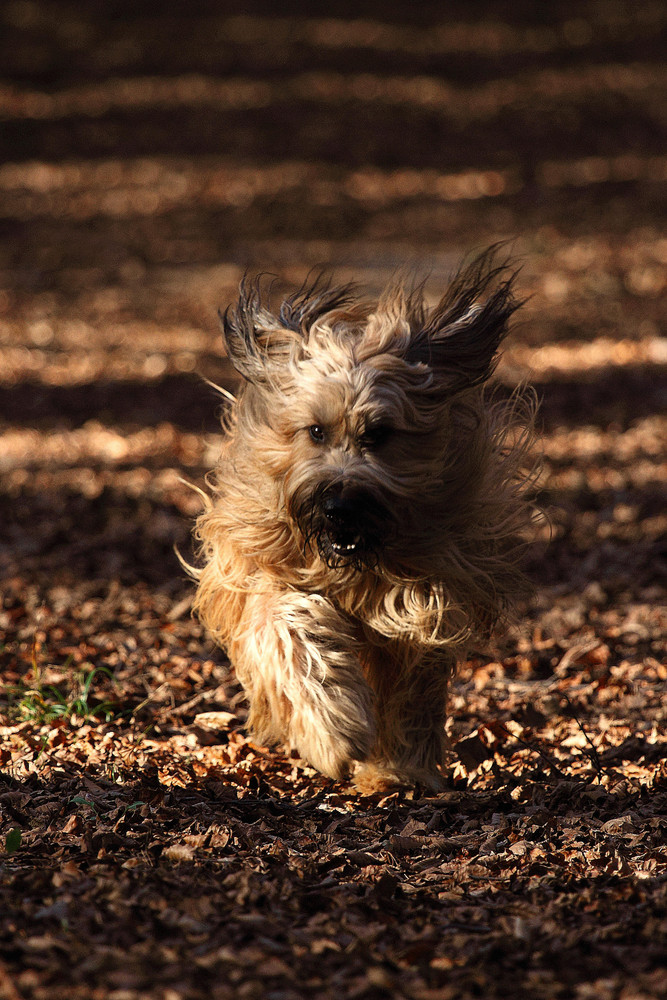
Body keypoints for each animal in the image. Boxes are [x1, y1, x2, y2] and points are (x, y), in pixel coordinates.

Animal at [190, 248, 536, 788]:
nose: (338, 506)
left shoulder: (426, 596)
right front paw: (333, 733)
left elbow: (412, 679)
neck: (351, 566)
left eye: (379, 433)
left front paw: (398, 766)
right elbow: (290, 624)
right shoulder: (259, 570)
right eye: (315, 430)